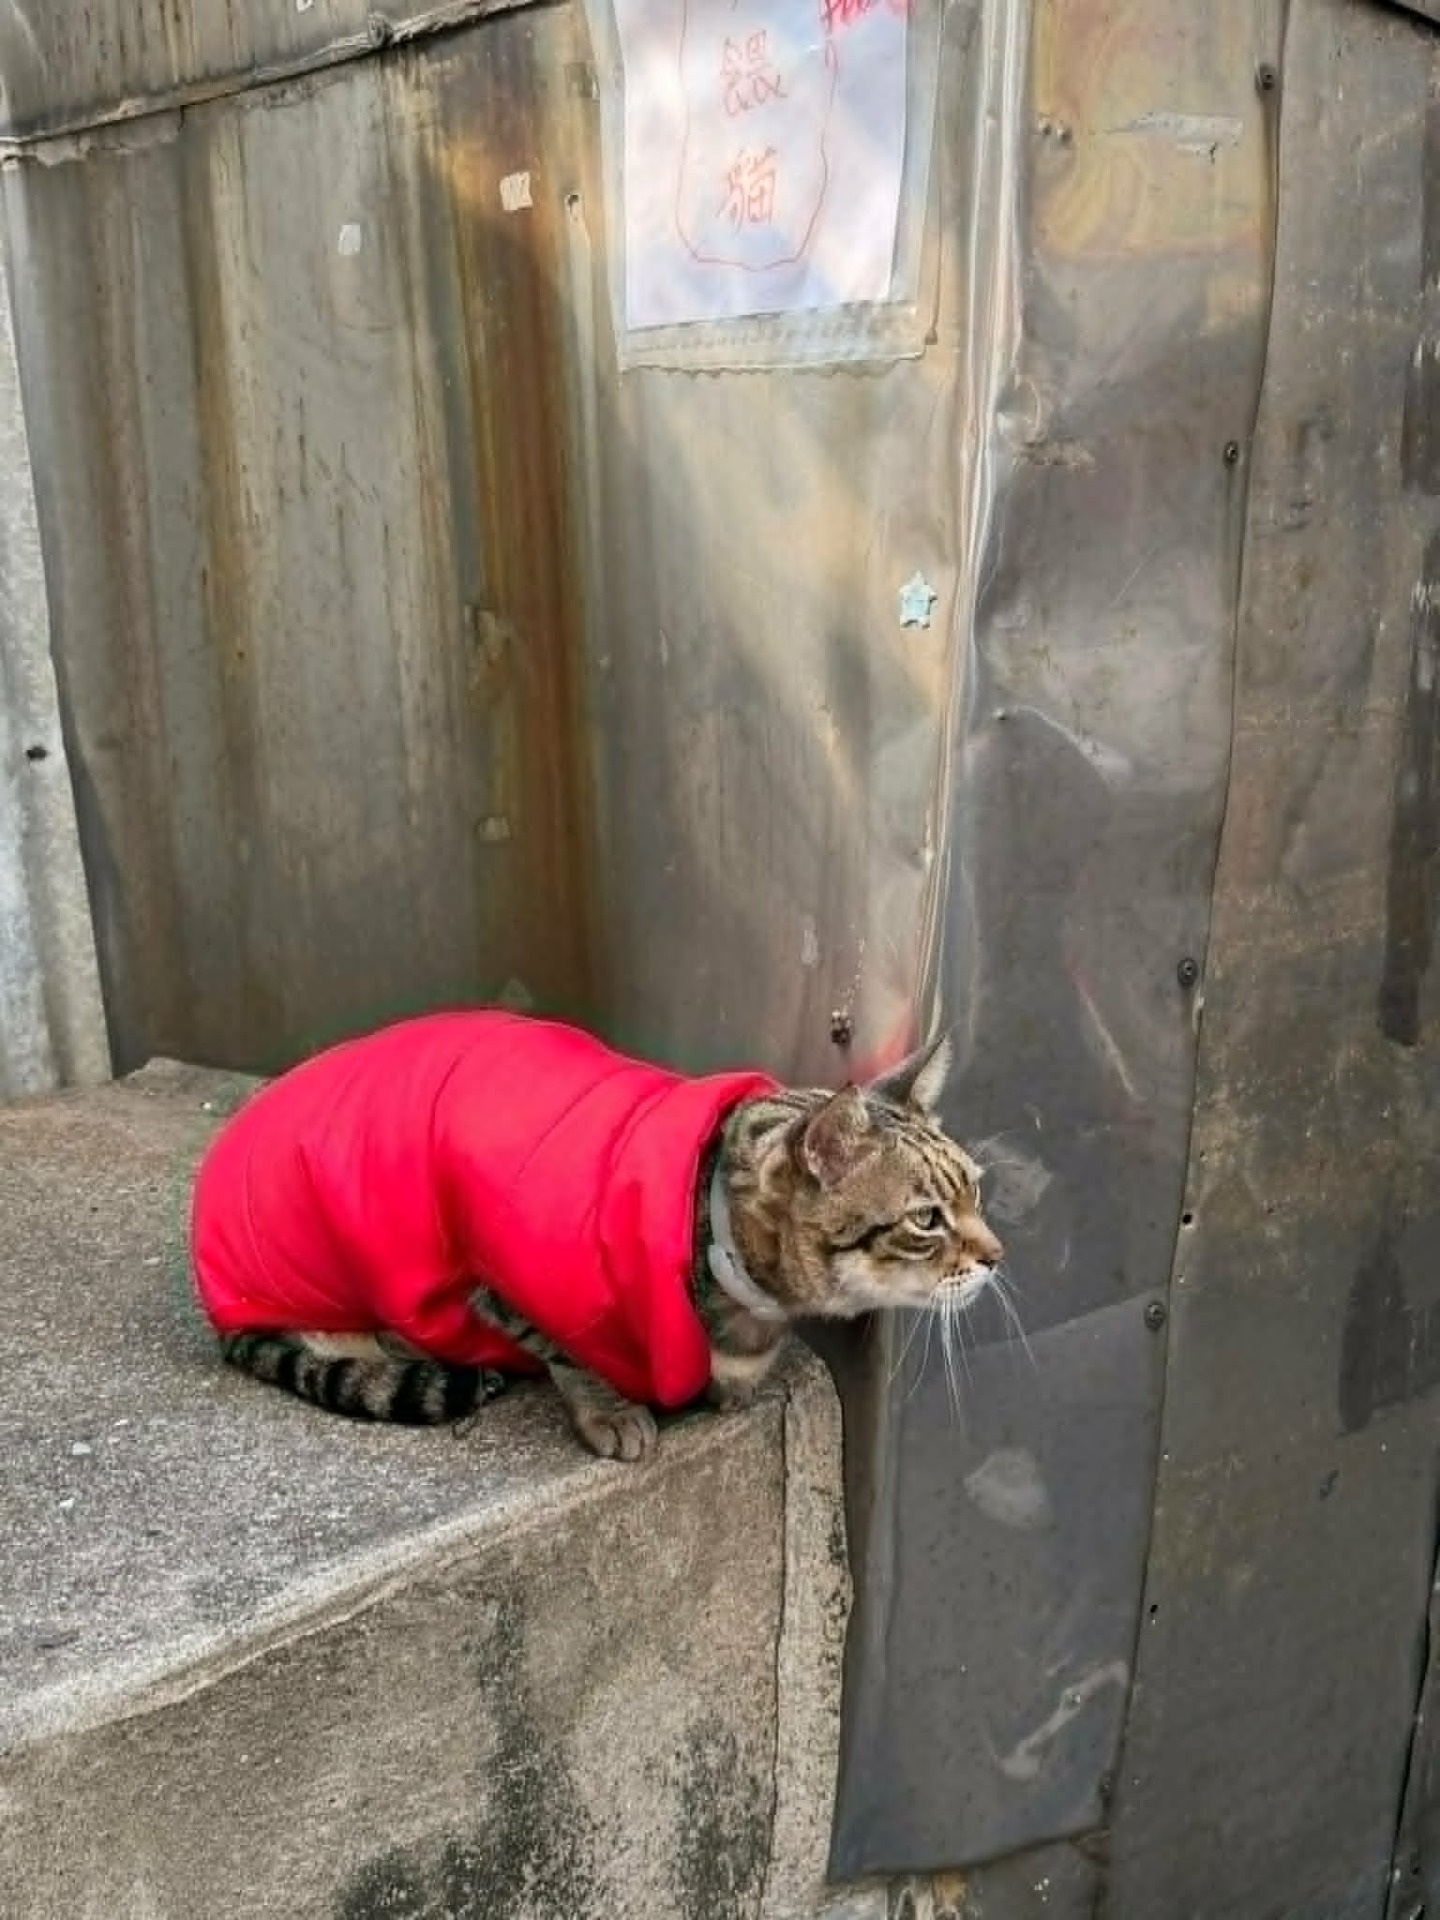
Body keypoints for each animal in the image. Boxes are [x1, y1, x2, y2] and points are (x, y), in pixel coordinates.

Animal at [194, 1012, 1003, 1462]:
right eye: (927, 1219)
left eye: (976, 1190)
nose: (998, 1257)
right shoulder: (498, 1271)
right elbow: (571, 1352)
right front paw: (612, 1410)